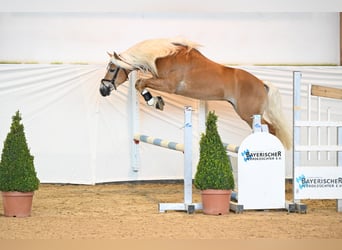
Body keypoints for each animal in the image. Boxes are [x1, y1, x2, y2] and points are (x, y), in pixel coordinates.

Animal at [99, 38, 292, 149]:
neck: (163, 56)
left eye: (112, 69)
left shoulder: (169, 85)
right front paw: (156, 101)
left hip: (249, 114)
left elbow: (140, 83)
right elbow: (139, 84)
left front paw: (154, 101)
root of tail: (262, 84)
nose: (102, 90)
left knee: (271, 129)